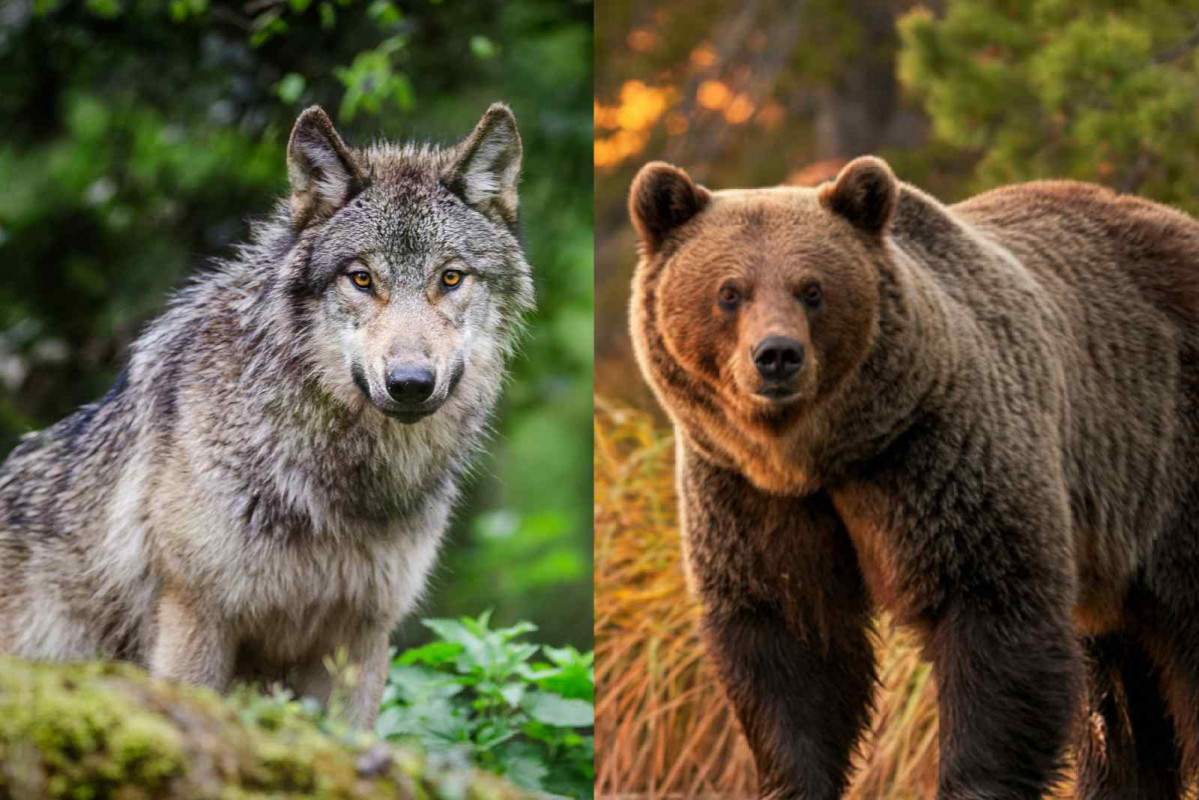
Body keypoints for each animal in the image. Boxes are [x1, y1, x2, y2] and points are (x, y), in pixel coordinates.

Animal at [0, 103, 533, 727]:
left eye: (450, 277)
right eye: (361, 278)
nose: (409, 384)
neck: (339, 489)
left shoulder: (362, 637)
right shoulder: (195, 617)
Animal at [627, 156, 1199, 799]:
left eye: (812, 289)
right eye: (729, 292)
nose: (776, 355)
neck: (819, 455)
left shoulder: (939, 457)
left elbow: (994, 622)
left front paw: (975, 782)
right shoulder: (748, 494)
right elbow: (791, 643)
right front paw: (794, 779)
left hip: (1166, 459)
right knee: (1121, 699)